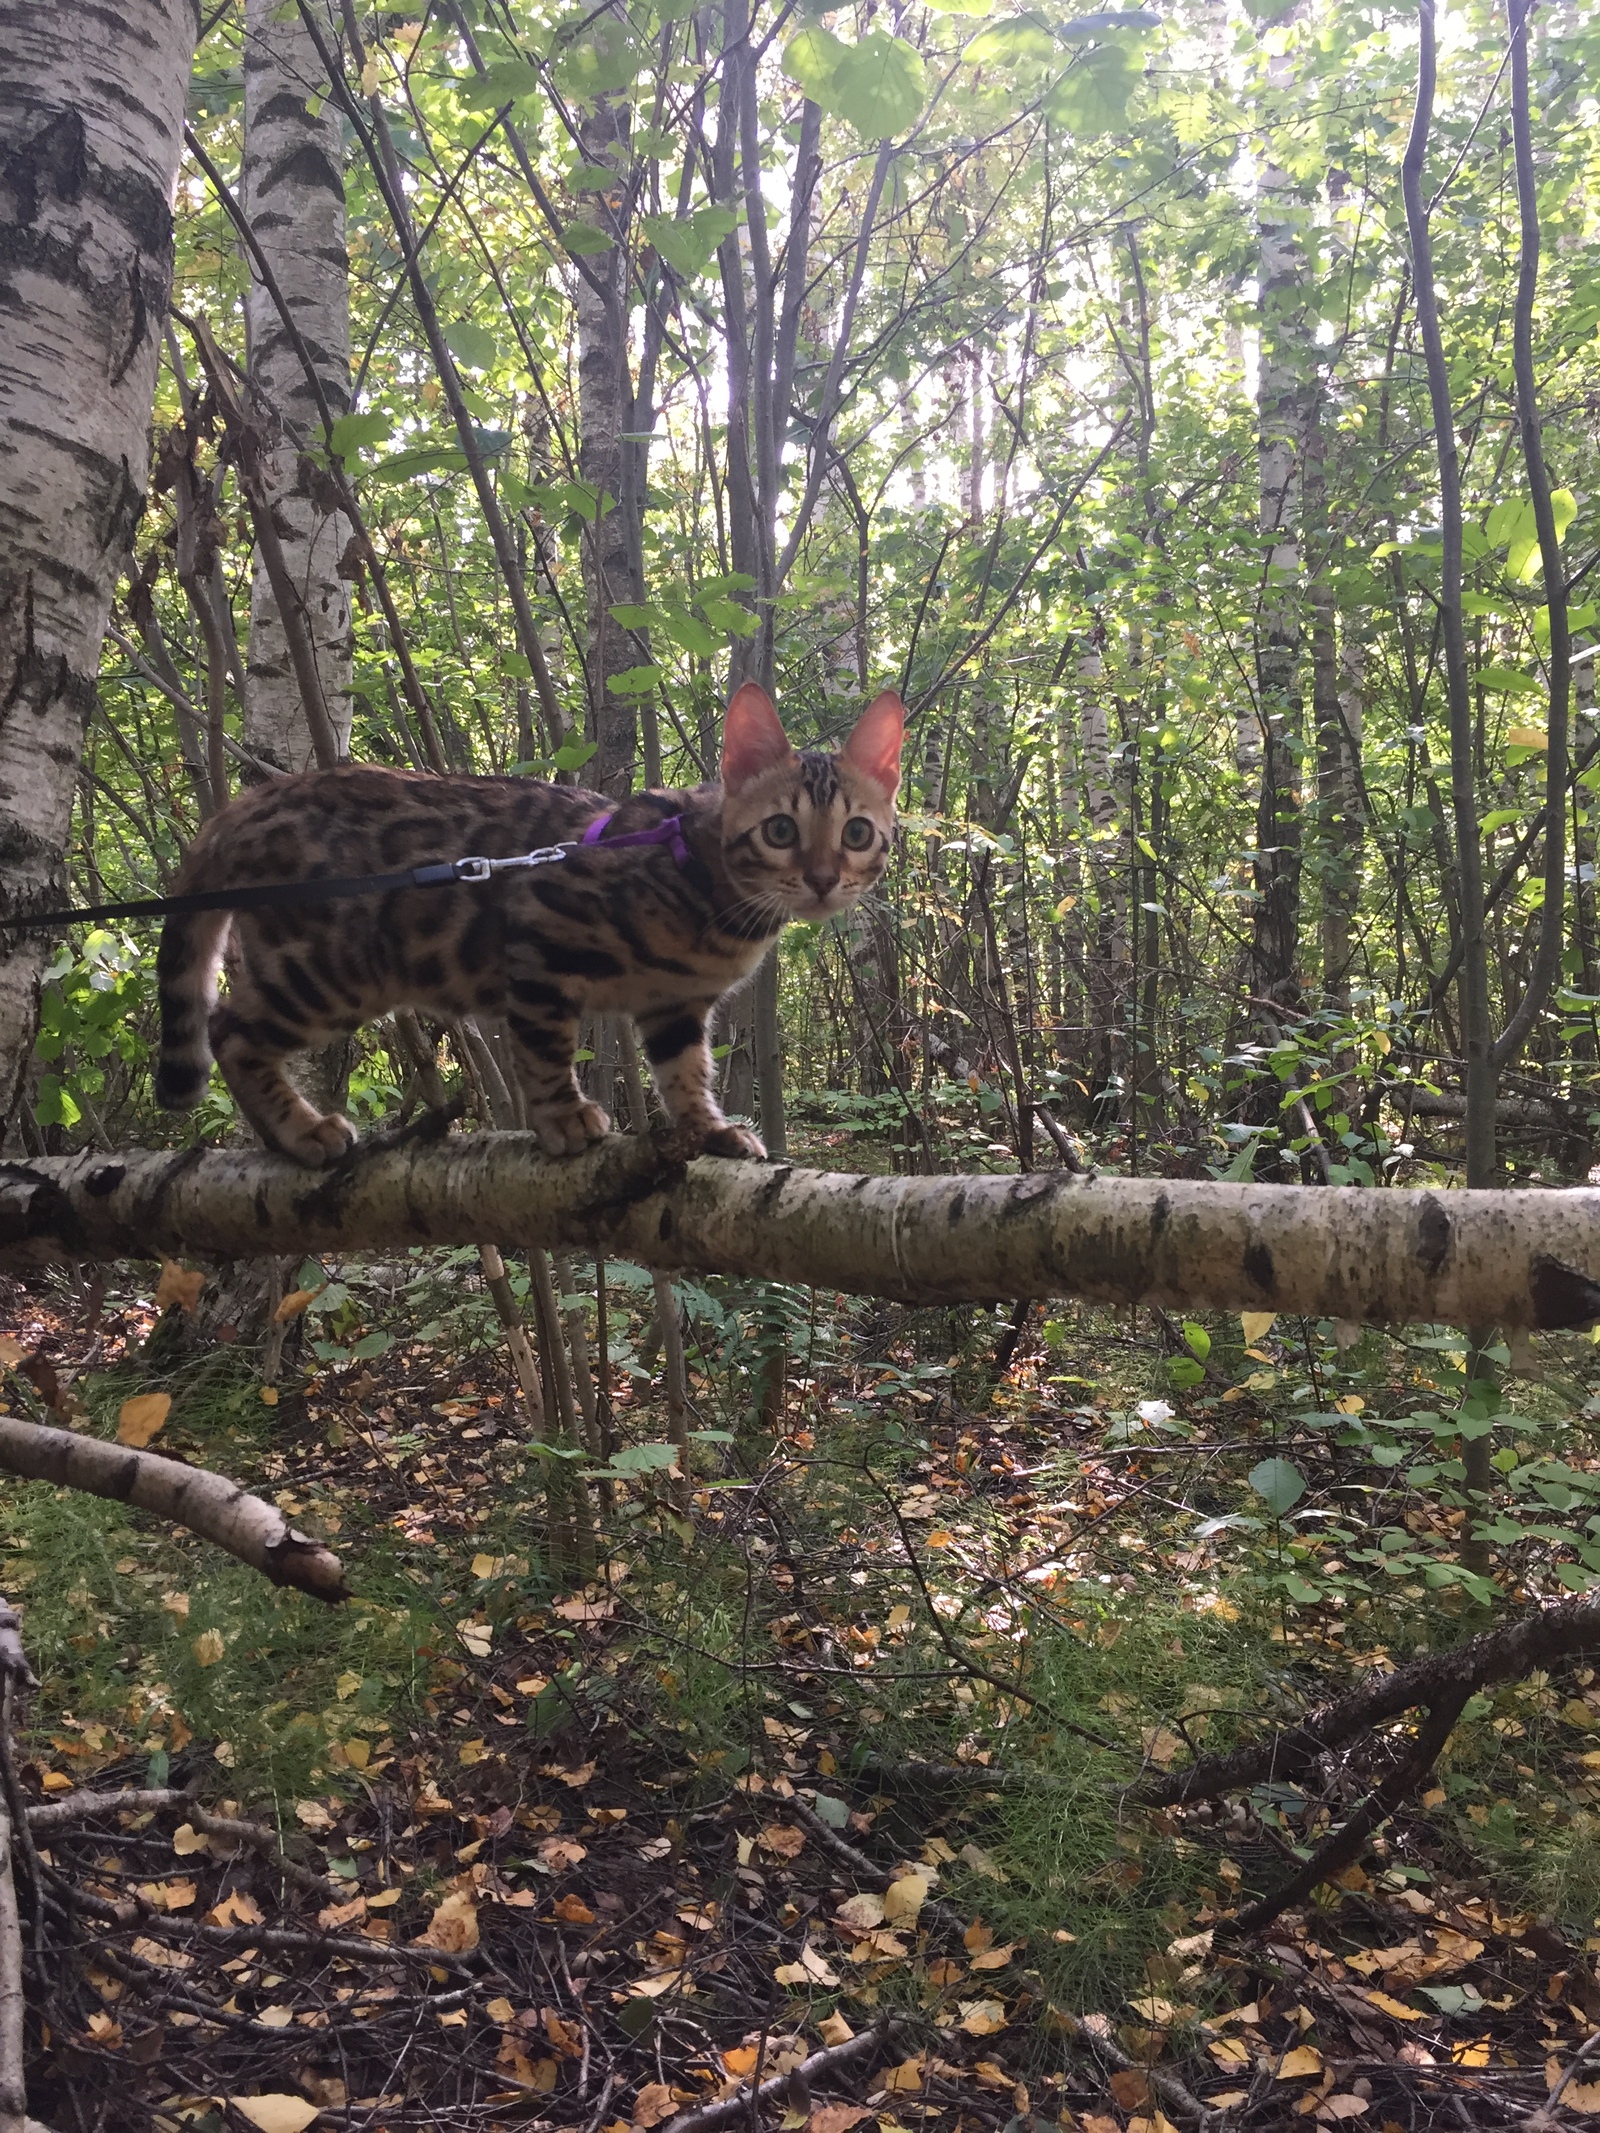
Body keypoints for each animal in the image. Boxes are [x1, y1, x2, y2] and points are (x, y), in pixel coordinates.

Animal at [156, 682, 908, 1168]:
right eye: (781, 830)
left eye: (857, 832)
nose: (823, 878)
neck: (712, 893)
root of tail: (249, 803)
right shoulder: (544, 936)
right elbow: (545, 1048)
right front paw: (563, 1117)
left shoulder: (675, 1005)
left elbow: (687, 1071)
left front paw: (707, 1129)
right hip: (332, 967)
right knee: (227, 1029)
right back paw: (299, 1132)